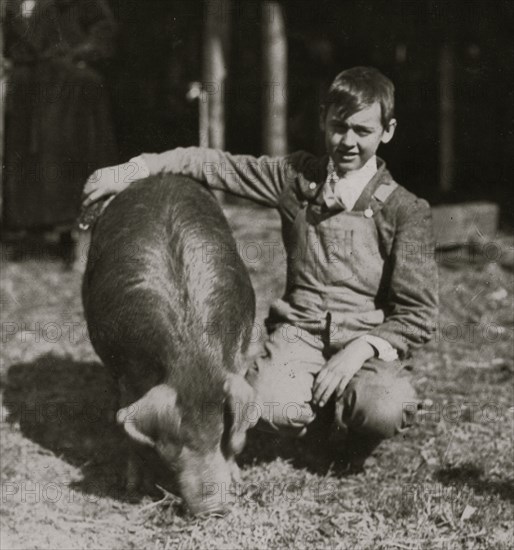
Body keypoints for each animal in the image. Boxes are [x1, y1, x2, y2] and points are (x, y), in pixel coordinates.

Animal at [83, 177, 256, 516]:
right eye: (177, 443)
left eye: (220, 431)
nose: (214, 507)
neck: (191, 358)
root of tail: (157, 178)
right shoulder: (127, 370)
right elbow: (129, 430)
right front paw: (133, 489)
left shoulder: (239, 356)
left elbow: (239, 437)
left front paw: (238, 479)